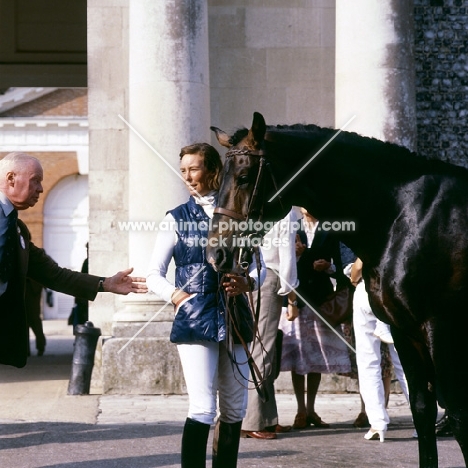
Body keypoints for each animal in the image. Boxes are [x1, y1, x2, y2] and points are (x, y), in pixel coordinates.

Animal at [207, 111, 468, 466]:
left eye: (245, 176)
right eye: (219, 179)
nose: (216, 253)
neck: (405, 215)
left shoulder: (441, 330)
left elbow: (457, 415)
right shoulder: (405, 331)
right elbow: (423, 413)